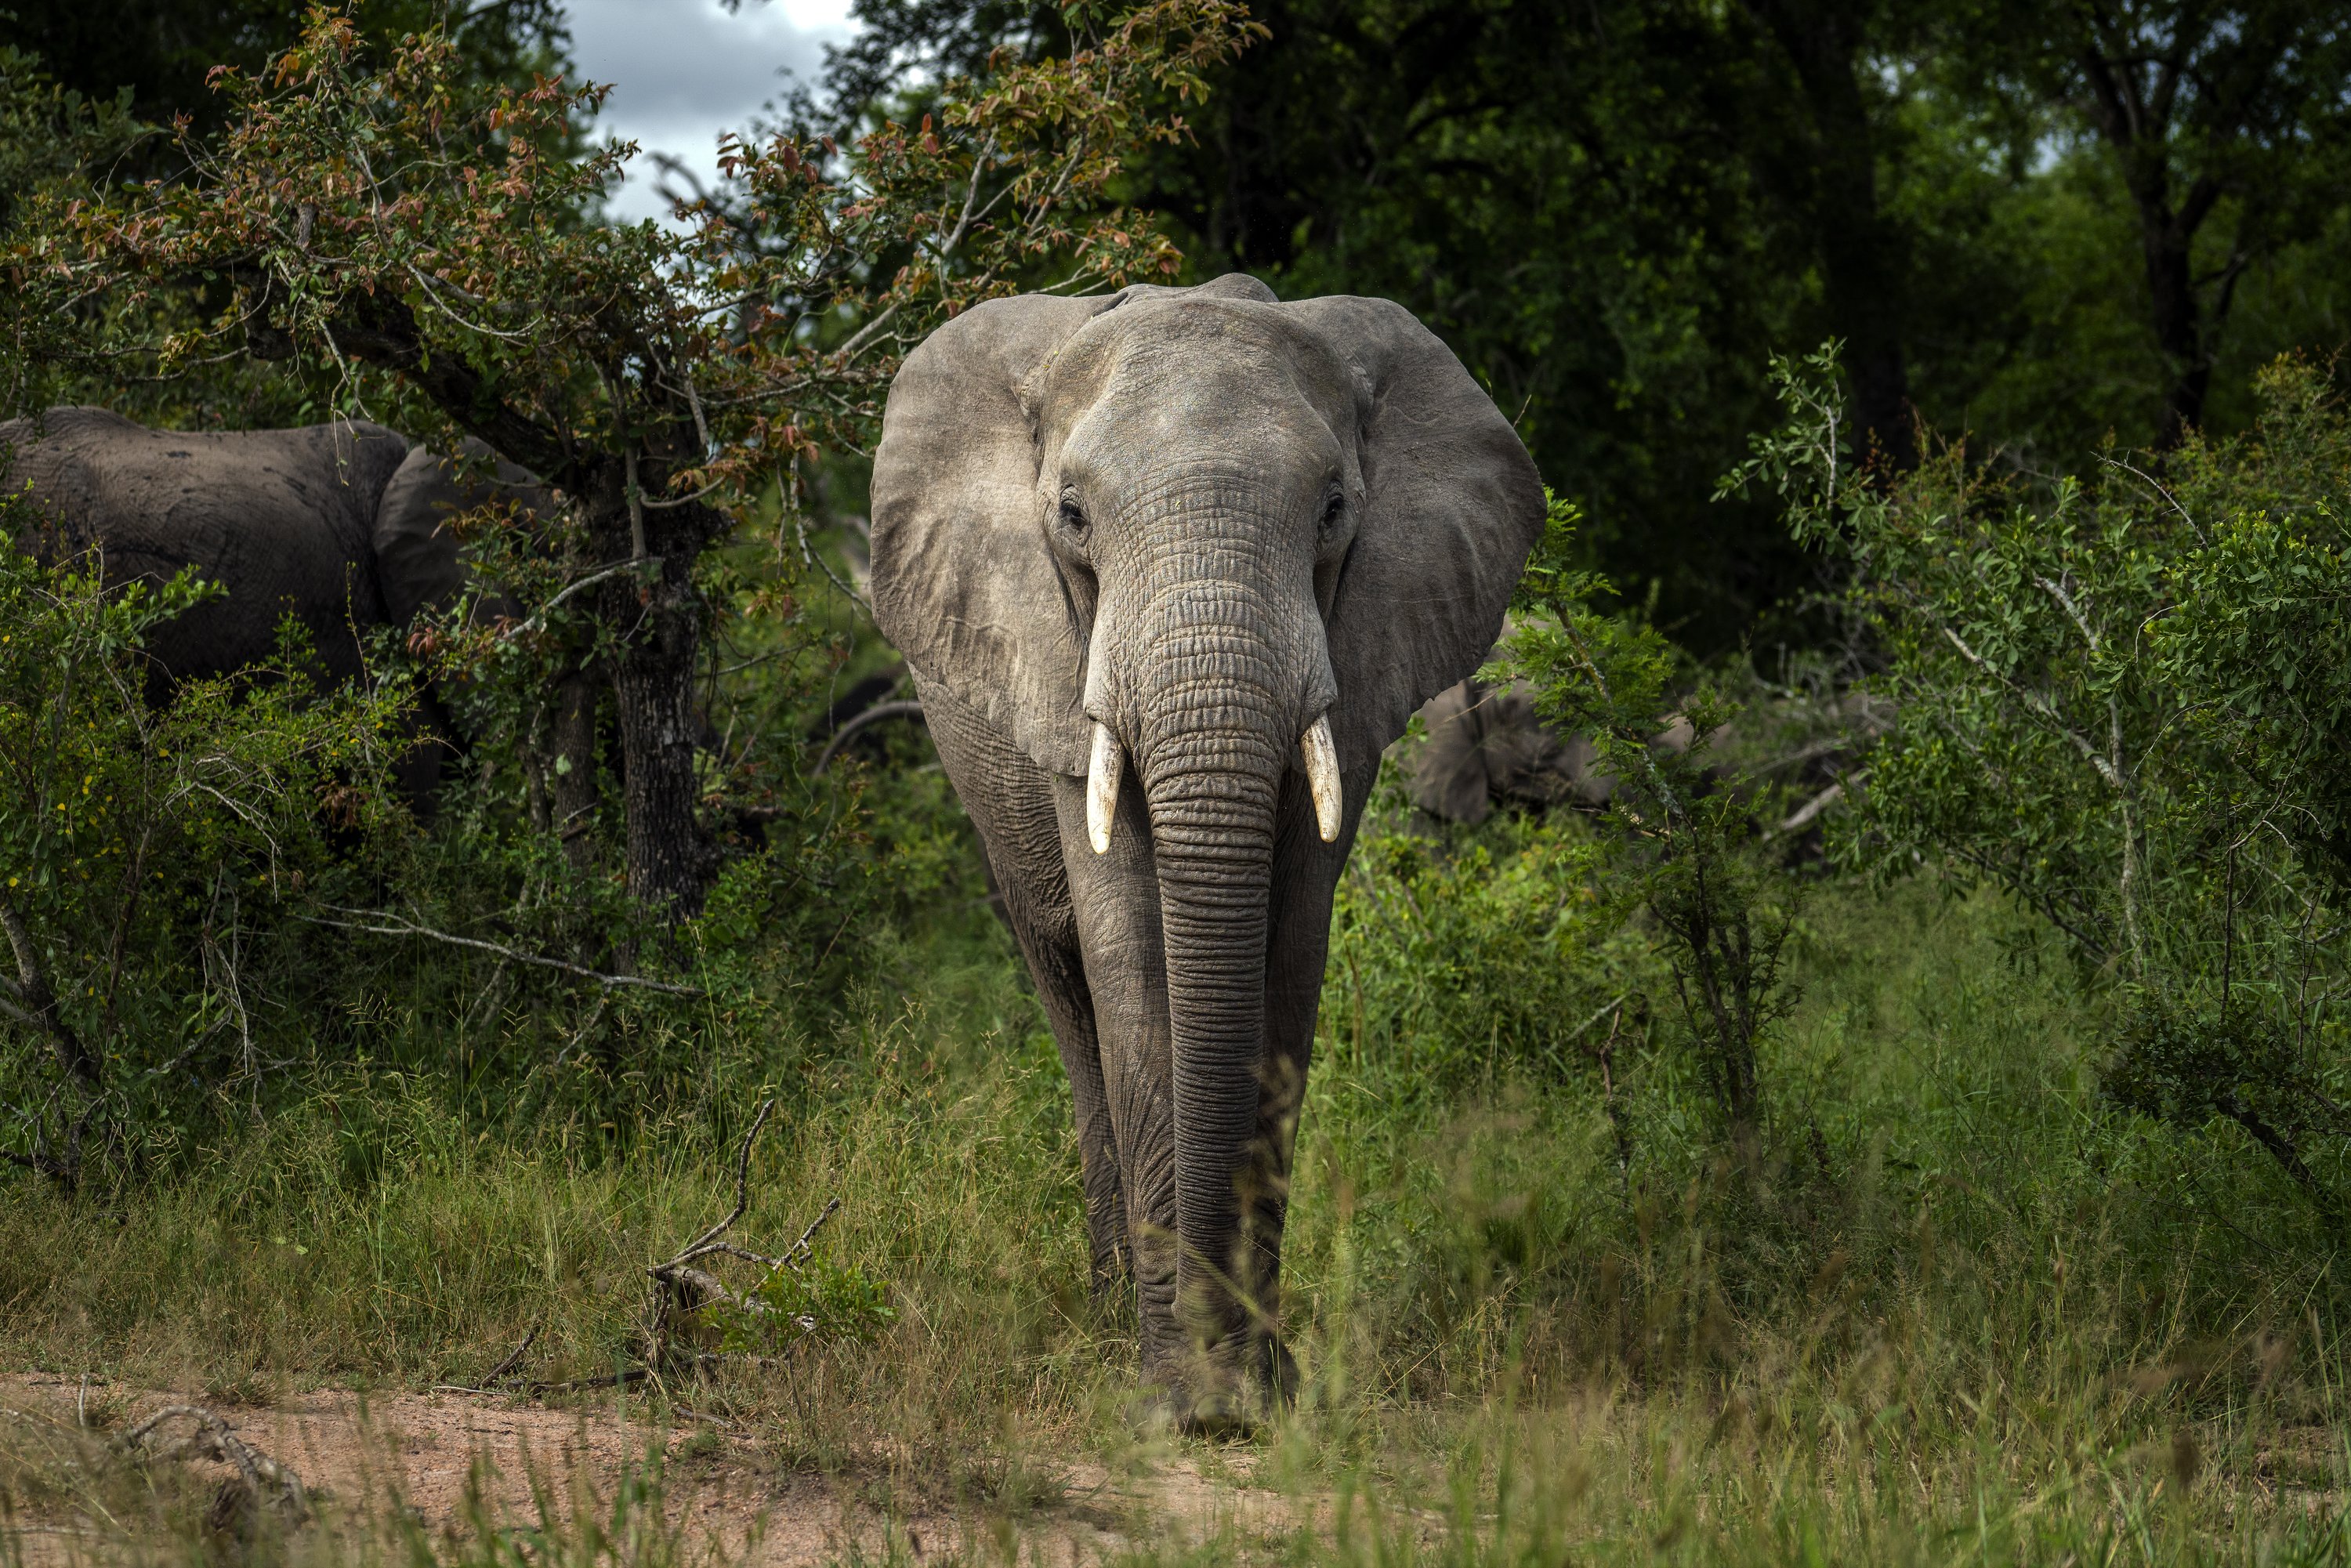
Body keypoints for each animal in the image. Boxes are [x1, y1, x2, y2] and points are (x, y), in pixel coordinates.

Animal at [865, 270, 1542, 1420]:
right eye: (1072, 516)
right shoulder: (1058, 662)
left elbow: (1289, 948)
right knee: (1069, 994)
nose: (1215, 1368)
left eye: (1333, 510)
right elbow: (1132, 950)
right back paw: (1104, 1317)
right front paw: (1177, 1394)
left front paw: (1256, 1391)